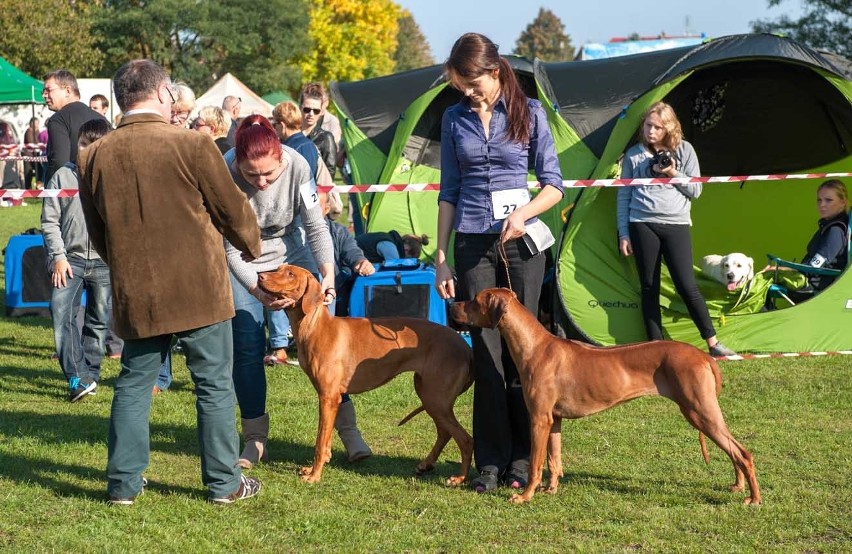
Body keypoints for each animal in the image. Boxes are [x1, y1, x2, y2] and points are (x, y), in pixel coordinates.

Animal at [256, 264, 476, 484]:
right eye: (279, 268)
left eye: (290, 274)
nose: (260, 276)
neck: (315, 326)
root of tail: (466, 348)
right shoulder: (331, 397)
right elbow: (326, 441)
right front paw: (315, 467)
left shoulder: (328, 397)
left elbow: (320, 441)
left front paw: (314, 475)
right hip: (429, 395)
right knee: (445, 433)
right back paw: (427, 464)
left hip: (435, 399)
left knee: (465, 439)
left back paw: (459, 478)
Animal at [450, 286, 764, 502]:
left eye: (475, 300)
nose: (452, 305)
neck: (535, 345)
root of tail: (703, 356)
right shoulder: (554, 420)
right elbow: (554, 459)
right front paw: (551, 490)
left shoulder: (539, 418)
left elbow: (536, 464)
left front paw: (525, 496)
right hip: (703, 412)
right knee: (734, 450)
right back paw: (738, 486)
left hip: (699, 411)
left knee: (743, 453)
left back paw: (754, 498)